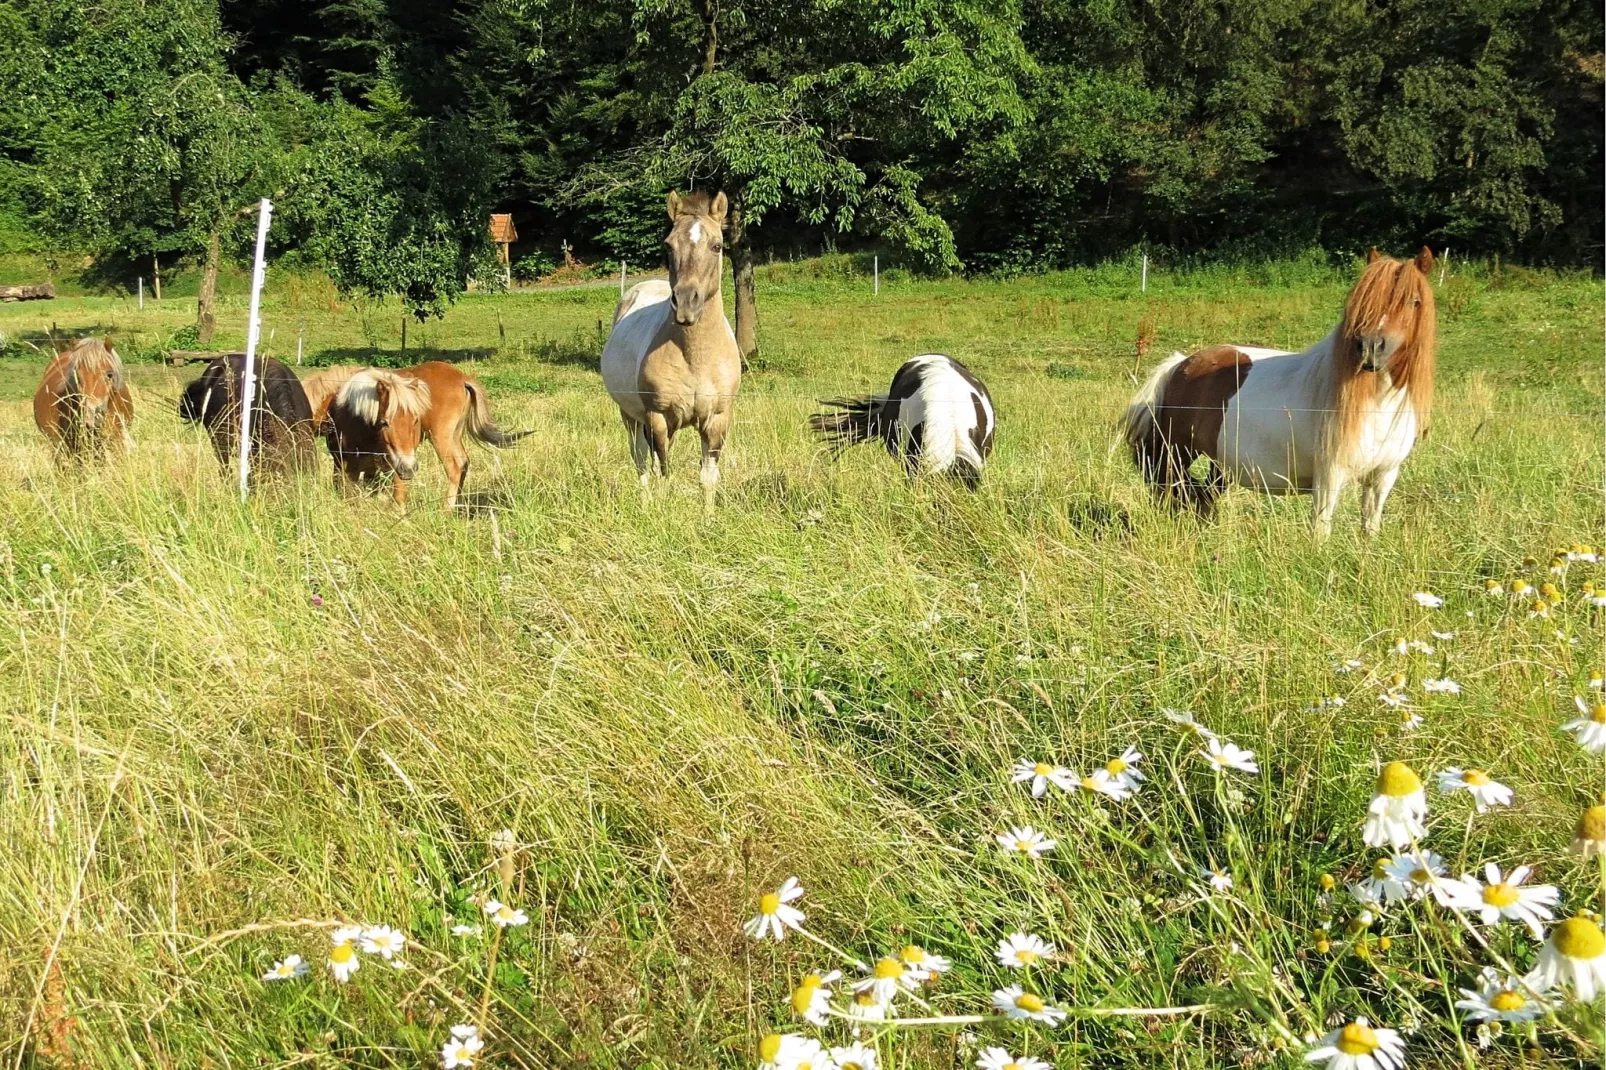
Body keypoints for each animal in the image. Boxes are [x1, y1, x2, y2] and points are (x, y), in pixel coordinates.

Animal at [322, 358, 529, 507]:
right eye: (384, 423)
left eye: (416, 420)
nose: (409, 468)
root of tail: (462, 378)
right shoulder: (351, 465)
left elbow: (398, 494)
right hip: (453, 435)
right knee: (464, 462)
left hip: (440, 436)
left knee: (455, 467)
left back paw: (446, 511)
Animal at [600, 189, 741, 510]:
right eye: (668, 245)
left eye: (717, 246)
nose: (686, 302)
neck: (696, 358)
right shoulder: (659, 418)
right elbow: (664, 473)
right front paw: (662, 512)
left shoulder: (717, 420)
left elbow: (707, 477)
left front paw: (708, 517)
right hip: (631, 417)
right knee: (641, 461)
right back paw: (645, 505)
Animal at [1117, 245, 1445, 536]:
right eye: (1363, 301)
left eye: (1415, 301)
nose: (1370, 348)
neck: (1377, 405)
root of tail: (1180, 364)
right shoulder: (1329, 476)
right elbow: (1321, 531)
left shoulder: (1382, 477)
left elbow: (1370, 529)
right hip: (1176, 454)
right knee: (1169, 493)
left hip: (1219, 462)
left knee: (1204, 497)